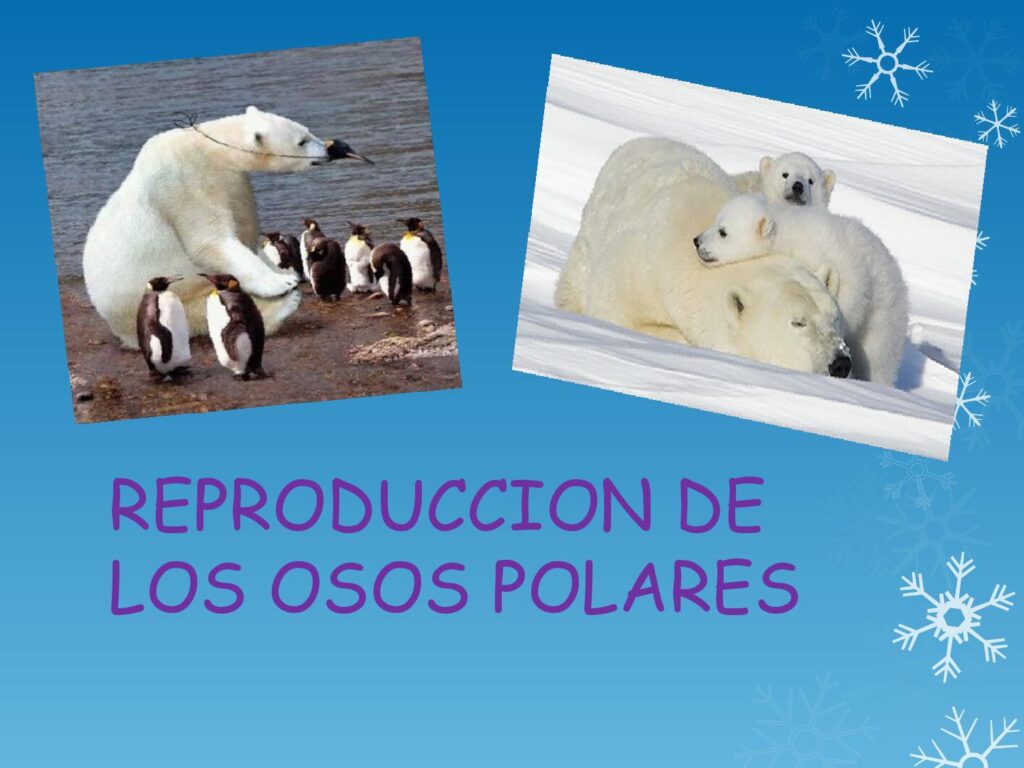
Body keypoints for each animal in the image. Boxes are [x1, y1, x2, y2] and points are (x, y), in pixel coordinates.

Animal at [82, 106, 369, 349]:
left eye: (307, 131)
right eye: (302, 140)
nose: (328, 150)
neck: (207, 148)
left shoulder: (232, 182)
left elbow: (244, 229)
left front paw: (281, 269)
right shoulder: (184, 183)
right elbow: (210, 241)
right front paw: (281, 282)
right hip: (156, 299)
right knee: (201, 312)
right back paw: (283, 306)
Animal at [694, 193, 908, 385]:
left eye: (722, 232)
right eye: (716, 220)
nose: (697, 241)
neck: (785, 232)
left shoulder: (827, 258)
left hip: (885, 313)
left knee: (878, 357)